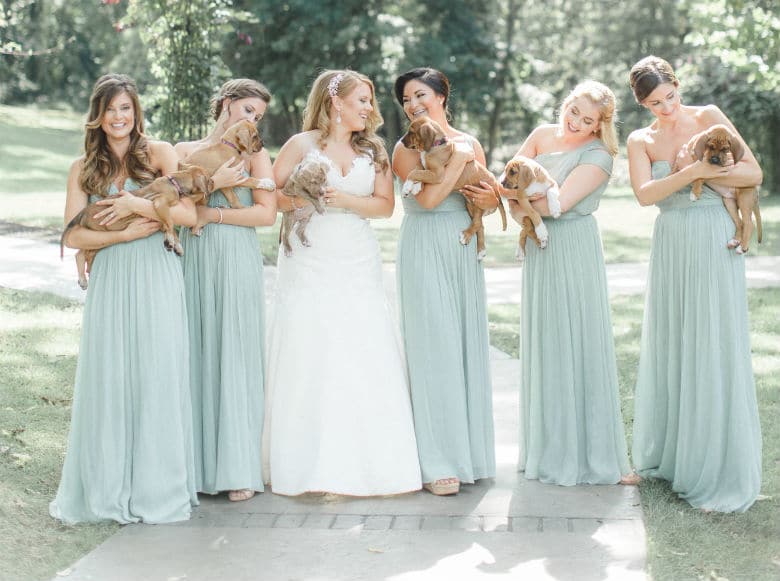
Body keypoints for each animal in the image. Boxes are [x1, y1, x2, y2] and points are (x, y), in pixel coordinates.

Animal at [60, 164, 212, 288]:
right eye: (209, 179)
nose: (214, 182)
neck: (175, 182)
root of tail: (83, 212)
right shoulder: (160, 203)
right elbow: (170, 222)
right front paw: (170, 240)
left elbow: (169, 224)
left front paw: (176, 244)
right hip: (101, 235)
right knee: (84, 254)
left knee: (80, 253)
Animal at [400, 116, 508, 260]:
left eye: (411, 132)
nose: (401, 142)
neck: (436, 145)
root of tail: (496, 189)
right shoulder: (428, 169)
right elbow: (418, 169)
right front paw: (416, 186)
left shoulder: (438, 175)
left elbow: (415, 172)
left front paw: (407, 187)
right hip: (470, 205)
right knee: (480, 225)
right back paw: (481, 250)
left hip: (478, 202)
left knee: (477, 223)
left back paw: (466, 236)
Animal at [676, 123, 760, 253]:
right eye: (710, 146)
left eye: (725, 149)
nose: (715, 160)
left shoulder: (706, 170)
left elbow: (699, 176)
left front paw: (695, 192)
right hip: (729, 202)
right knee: (740, 222)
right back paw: (735, 240)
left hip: (744, 199)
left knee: (749, 223)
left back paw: (742, 247)